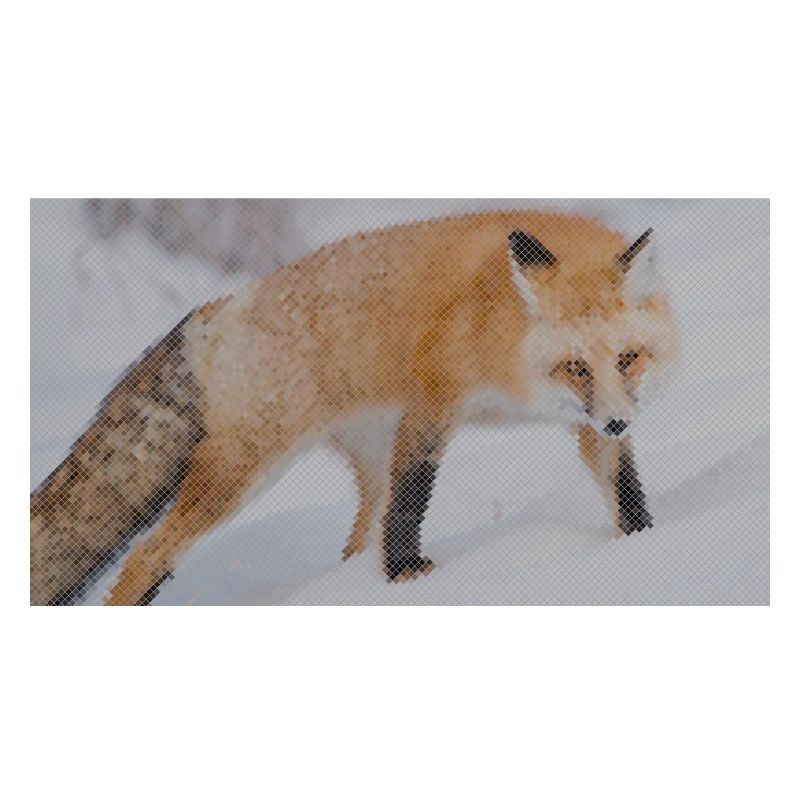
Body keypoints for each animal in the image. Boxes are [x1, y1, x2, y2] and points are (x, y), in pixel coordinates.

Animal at [30, 210, 679, 605]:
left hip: (365, 458)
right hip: (244, 472)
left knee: (353, 543)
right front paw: (406, 576)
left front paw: (643, 541)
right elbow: (413, 500)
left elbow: (624, 488)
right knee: (146, 555)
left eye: (627, 358)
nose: (620, 420)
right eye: (575, 366)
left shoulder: (586, 420)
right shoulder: (433, 400)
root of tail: (220, 307)